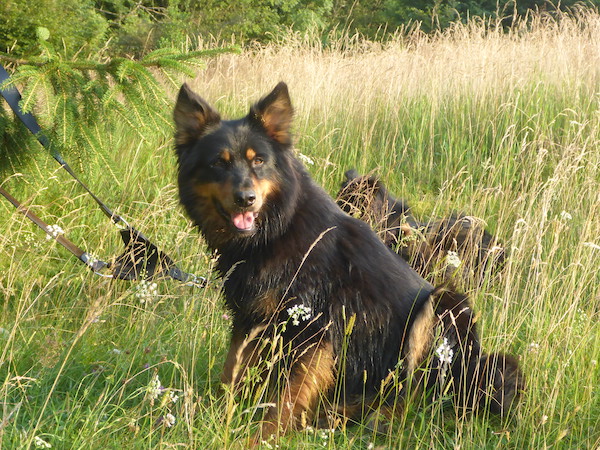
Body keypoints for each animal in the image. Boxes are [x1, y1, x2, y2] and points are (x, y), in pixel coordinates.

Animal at [172, 82, 520, 438]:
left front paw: (263, 436)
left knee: (414, 394)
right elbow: (232, 370)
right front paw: (214, 414)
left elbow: (287, 397)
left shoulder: (313, 330)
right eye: (219, 162)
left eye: (259, 161)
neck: (275, 229)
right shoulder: (250, 317)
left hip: (443, 306)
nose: (246, 199)